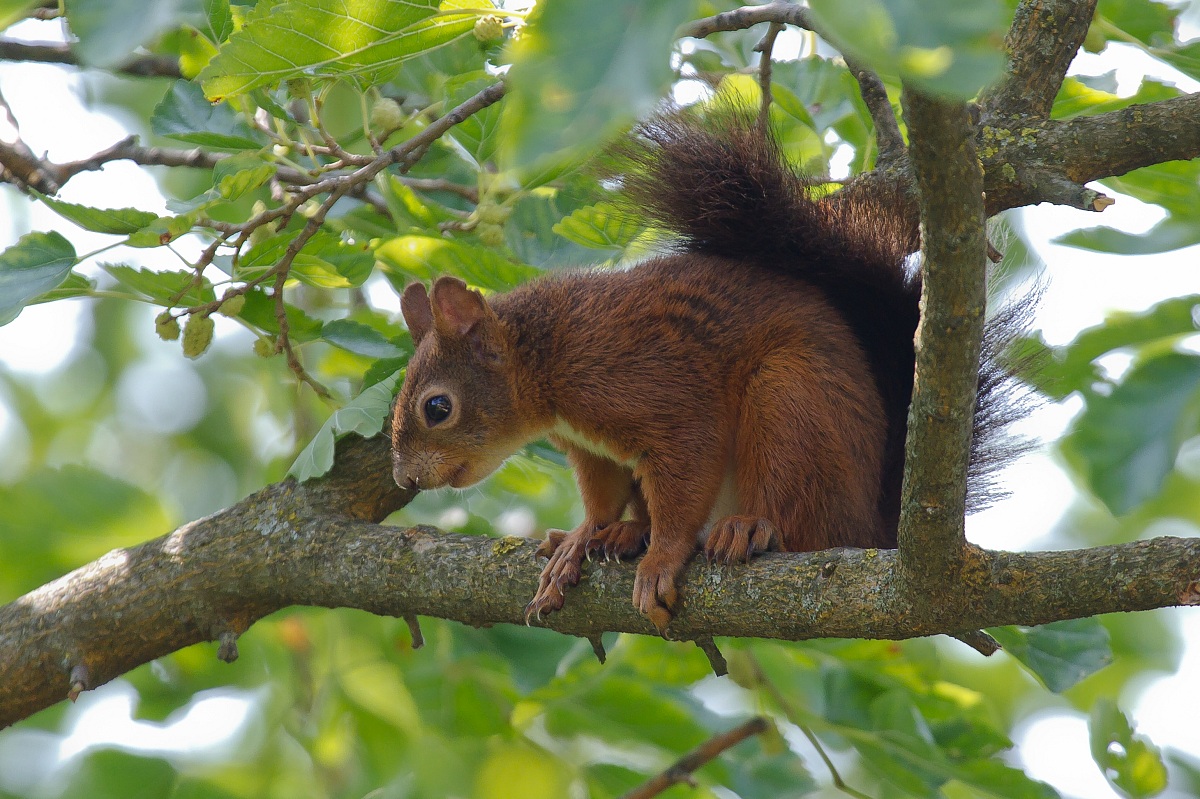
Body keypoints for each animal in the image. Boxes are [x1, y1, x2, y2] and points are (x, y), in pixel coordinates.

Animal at [389, 110, 1025, 633]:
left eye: (437, 408)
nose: (406, 480)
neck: (546, 357)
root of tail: (872, 531)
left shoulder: (654, 388)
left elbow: (687, 466)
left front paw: (662, 558)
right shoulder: (591, 447)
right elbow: (602, 493)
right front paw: (582, 537)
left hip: (789, 401)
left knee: (803, 524)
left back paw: (749, 527)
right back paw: (625, 534)